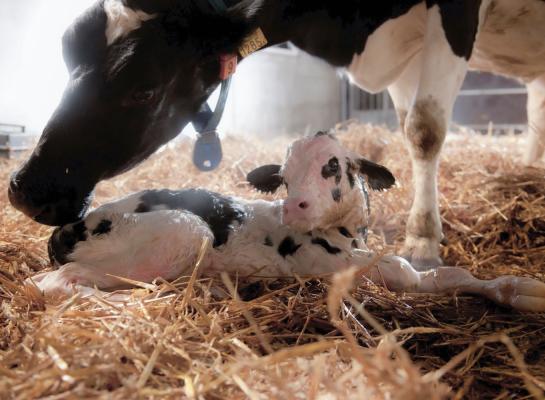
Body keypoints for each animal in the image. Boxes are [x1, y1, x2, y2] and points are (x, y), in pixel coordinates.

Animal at [7, 1, 544, 268]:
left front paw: (423, 239)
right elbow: (412, 121)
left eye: (144, 88)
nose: (25, 189)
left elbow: (424, 128)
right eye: (65, 53)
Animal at [28, 134, 544, 312]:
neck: (345, 236)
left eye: (334, 165)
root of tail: (68, 227)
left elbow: (447, 272)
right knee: (54, 281)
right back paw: (139, 304)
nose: (296, 205)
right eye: (285, 174)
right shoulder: (330, 264)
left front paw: (522, 289)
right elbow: (412, 274)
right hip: (181, 234)